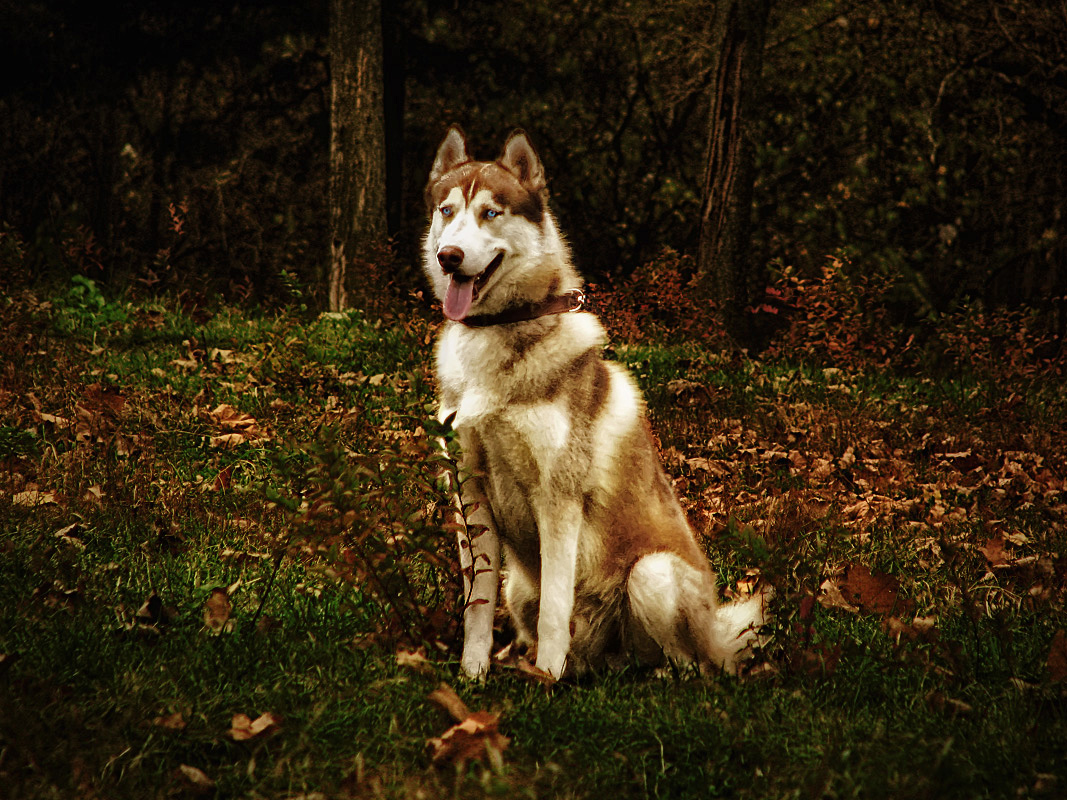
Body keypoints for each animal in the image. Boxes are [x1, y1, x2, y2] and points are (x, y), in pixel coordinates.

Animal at [420, 126, 763, 682]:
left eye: (491, 213)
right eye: (447, 210)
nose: (449, 255)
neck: (499, 331)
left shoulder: (558, 499)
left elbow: (557, 607)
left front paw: (546, 678)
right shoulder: (468, 495)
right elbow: (476, 603)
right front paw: (473, 672)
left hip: (652, 575)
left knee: (690, 665)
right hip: (520, 589)